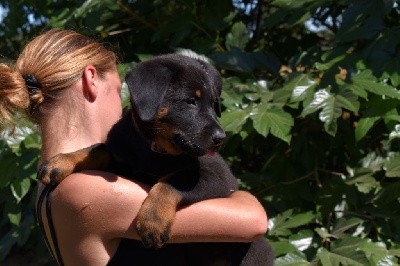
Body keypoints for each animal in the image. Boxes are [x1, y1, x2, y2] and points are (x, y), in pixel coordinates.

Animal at [38, 53, 276, 264]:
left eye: (212, 103)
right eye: (190, 101)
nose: (221, 138)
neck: (154, 150)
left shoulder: (219, 174)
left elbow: (172, 181)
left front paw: (152, 221)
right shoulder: (122, 156)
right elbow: (97, 149)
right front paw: (60, 161)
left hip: (257, 249)